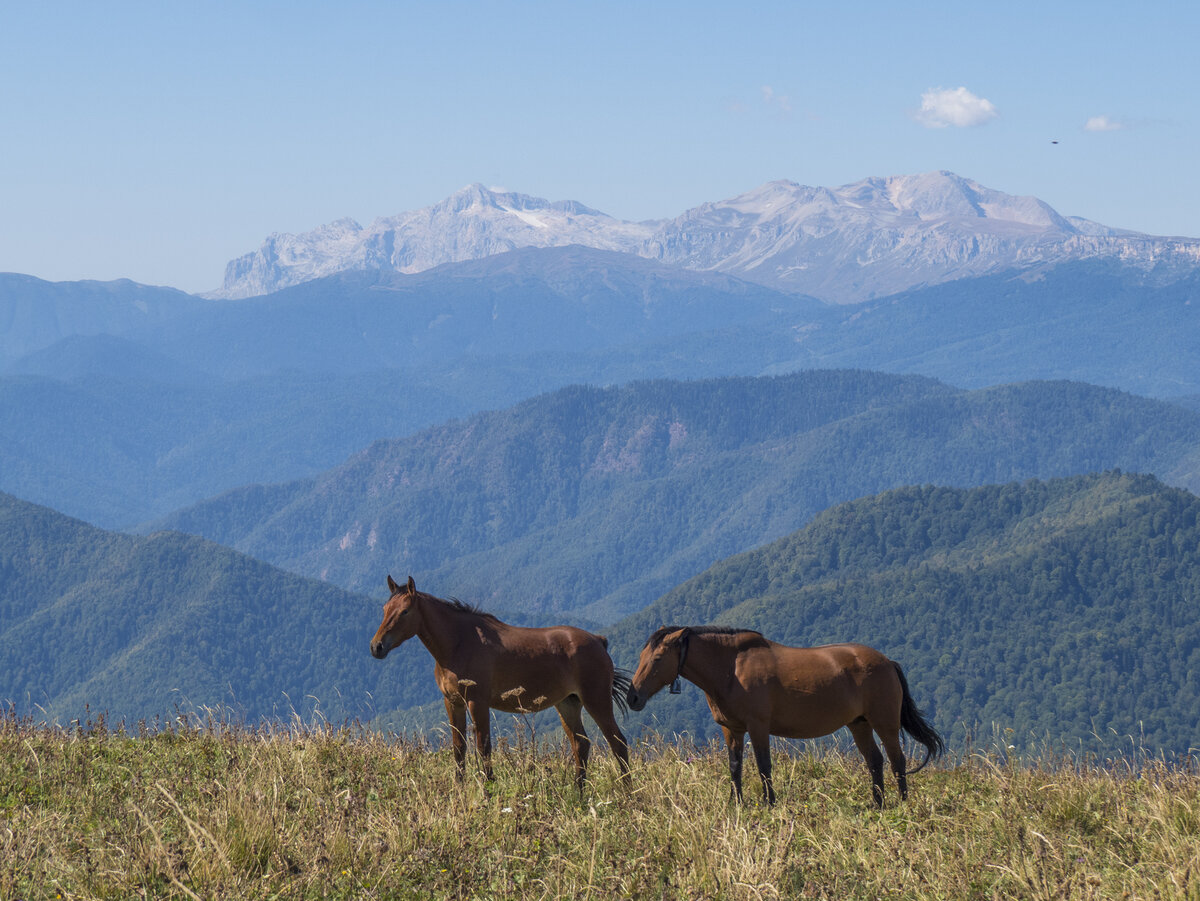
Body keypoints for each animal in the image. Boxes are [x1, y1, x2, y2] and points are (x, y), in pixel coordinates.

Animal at [369, 578, 633, 787]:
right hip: (568, 704)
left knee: (618, 744)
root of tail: (598, 641)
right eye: (384, 608)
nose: (376, 646)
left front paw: (488, 790)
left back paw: (627, 794)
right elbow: (459, 748)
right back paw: (579, 795)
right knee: (581, 745)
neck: (459, 643)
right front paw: (459, 789)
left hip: (596, 701)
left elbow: (483, 748)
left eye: (404, 611)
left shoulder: (477, 702)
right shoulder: (453, 702)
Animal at [624, 628, 940, 811]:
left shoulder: (758, 726)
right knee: (874, 760)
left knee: (897, 760)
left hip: (884, 723)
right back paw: (878, 804)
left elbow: (764, 766)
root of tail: (887, 662)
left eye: (657, 659)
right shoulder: (732, 730)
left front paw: (770, 803)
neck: (731, 668)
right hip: (859, 724)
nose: (633, 697)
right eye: (641, 656)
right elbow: (735, 767)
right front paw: (736, 804)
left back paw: (902, 803)